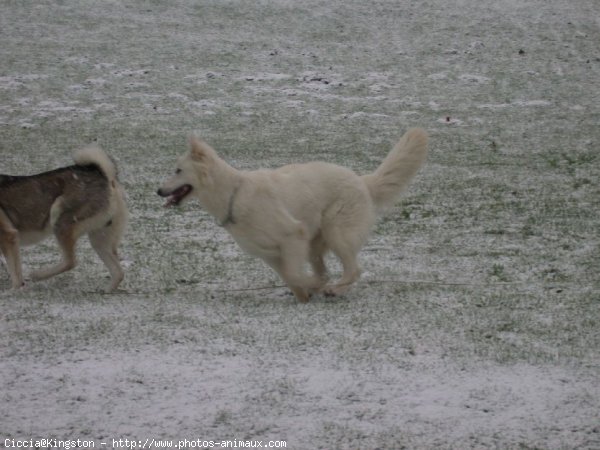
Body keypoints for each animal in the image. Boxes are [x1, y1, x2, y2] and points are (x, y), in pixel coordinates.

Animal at [157, 128, 428, 300]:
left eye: (178, 170)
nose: (158, 191)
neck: (235, 194)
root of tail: (362, 181)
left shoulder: (292, 237)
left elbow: (297, 275)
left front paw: (315, 286)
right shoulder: (271, 254)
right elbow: (291, 277)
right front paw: (305, 297)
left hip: (337, 234)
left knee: (354, 271)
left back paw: (334, 289)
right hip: (314, 245)